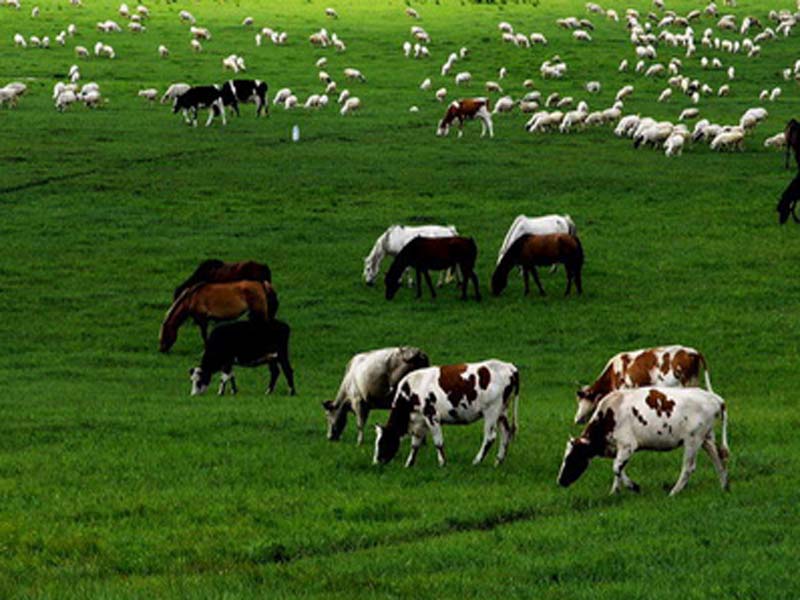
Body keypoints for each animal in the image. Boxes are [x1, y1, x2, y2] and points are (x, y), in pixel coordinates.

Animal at [374, 358, 520, 466]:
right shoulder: (419, 421)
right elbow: (415, 444)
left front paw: (442, 463)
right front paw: (409, 464)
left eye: (382, 442)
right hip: (502, 412)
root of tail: (509, 366)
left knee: (490, 437)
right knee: (505, 433)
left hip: (492, 410)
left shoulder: (431, 415)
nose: (376, 463)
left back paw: (476, 461)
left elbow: (438, 442)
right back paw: (498, 461)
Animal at [560, 386, 728, 494]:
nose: (560, 481)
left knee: (688, 467)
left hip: (693, 439)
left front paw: (634, 487)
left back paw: (673, 492)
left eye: (571, 458)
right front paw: (614, 492)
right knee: (718, 459)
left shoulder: (628, 445)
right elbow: (619, 470)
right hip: (706, 438)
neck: (609, 415)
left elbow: (616, 468)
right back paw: (724, 488)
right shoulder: (619, 449)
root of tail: (716, 399)